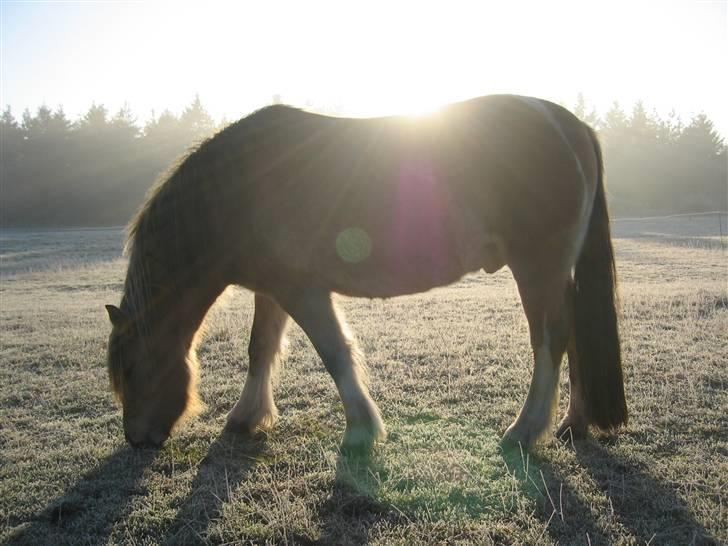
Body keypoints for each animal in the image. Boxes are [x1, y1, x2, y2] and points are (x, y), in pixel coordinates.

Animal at [105, 93, 628, 450]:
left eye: (130, 369)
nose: (137, 439)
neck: (235, 190)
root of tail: (569, 124)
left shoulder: (303, 290)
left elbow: (335, 353)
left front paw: (361, 428)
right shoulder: (272, 290)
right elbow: (261, 349)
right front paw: (245, 418)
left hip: (536, 265)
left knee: (551, 337)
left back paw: (525, 430)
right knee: (573, 333)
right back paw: (572, 425)